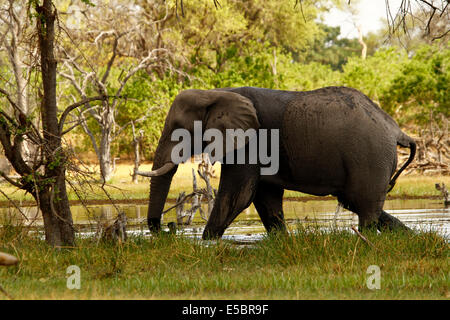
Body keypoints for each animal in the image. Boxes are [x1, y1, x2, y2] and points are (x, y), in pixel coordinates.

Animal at [144, 86, 414, 239]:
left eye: (179, 130)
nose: (167, 229)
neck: (214, 93)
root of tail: (397, 130)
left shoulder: (252, 140)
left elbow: (238, 195)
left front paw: (206, 242)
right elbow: (264, 197)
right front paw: (280, 240)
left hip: (370, 156)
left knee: (364, 206)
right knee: (358, 202)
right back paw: (409, 237)